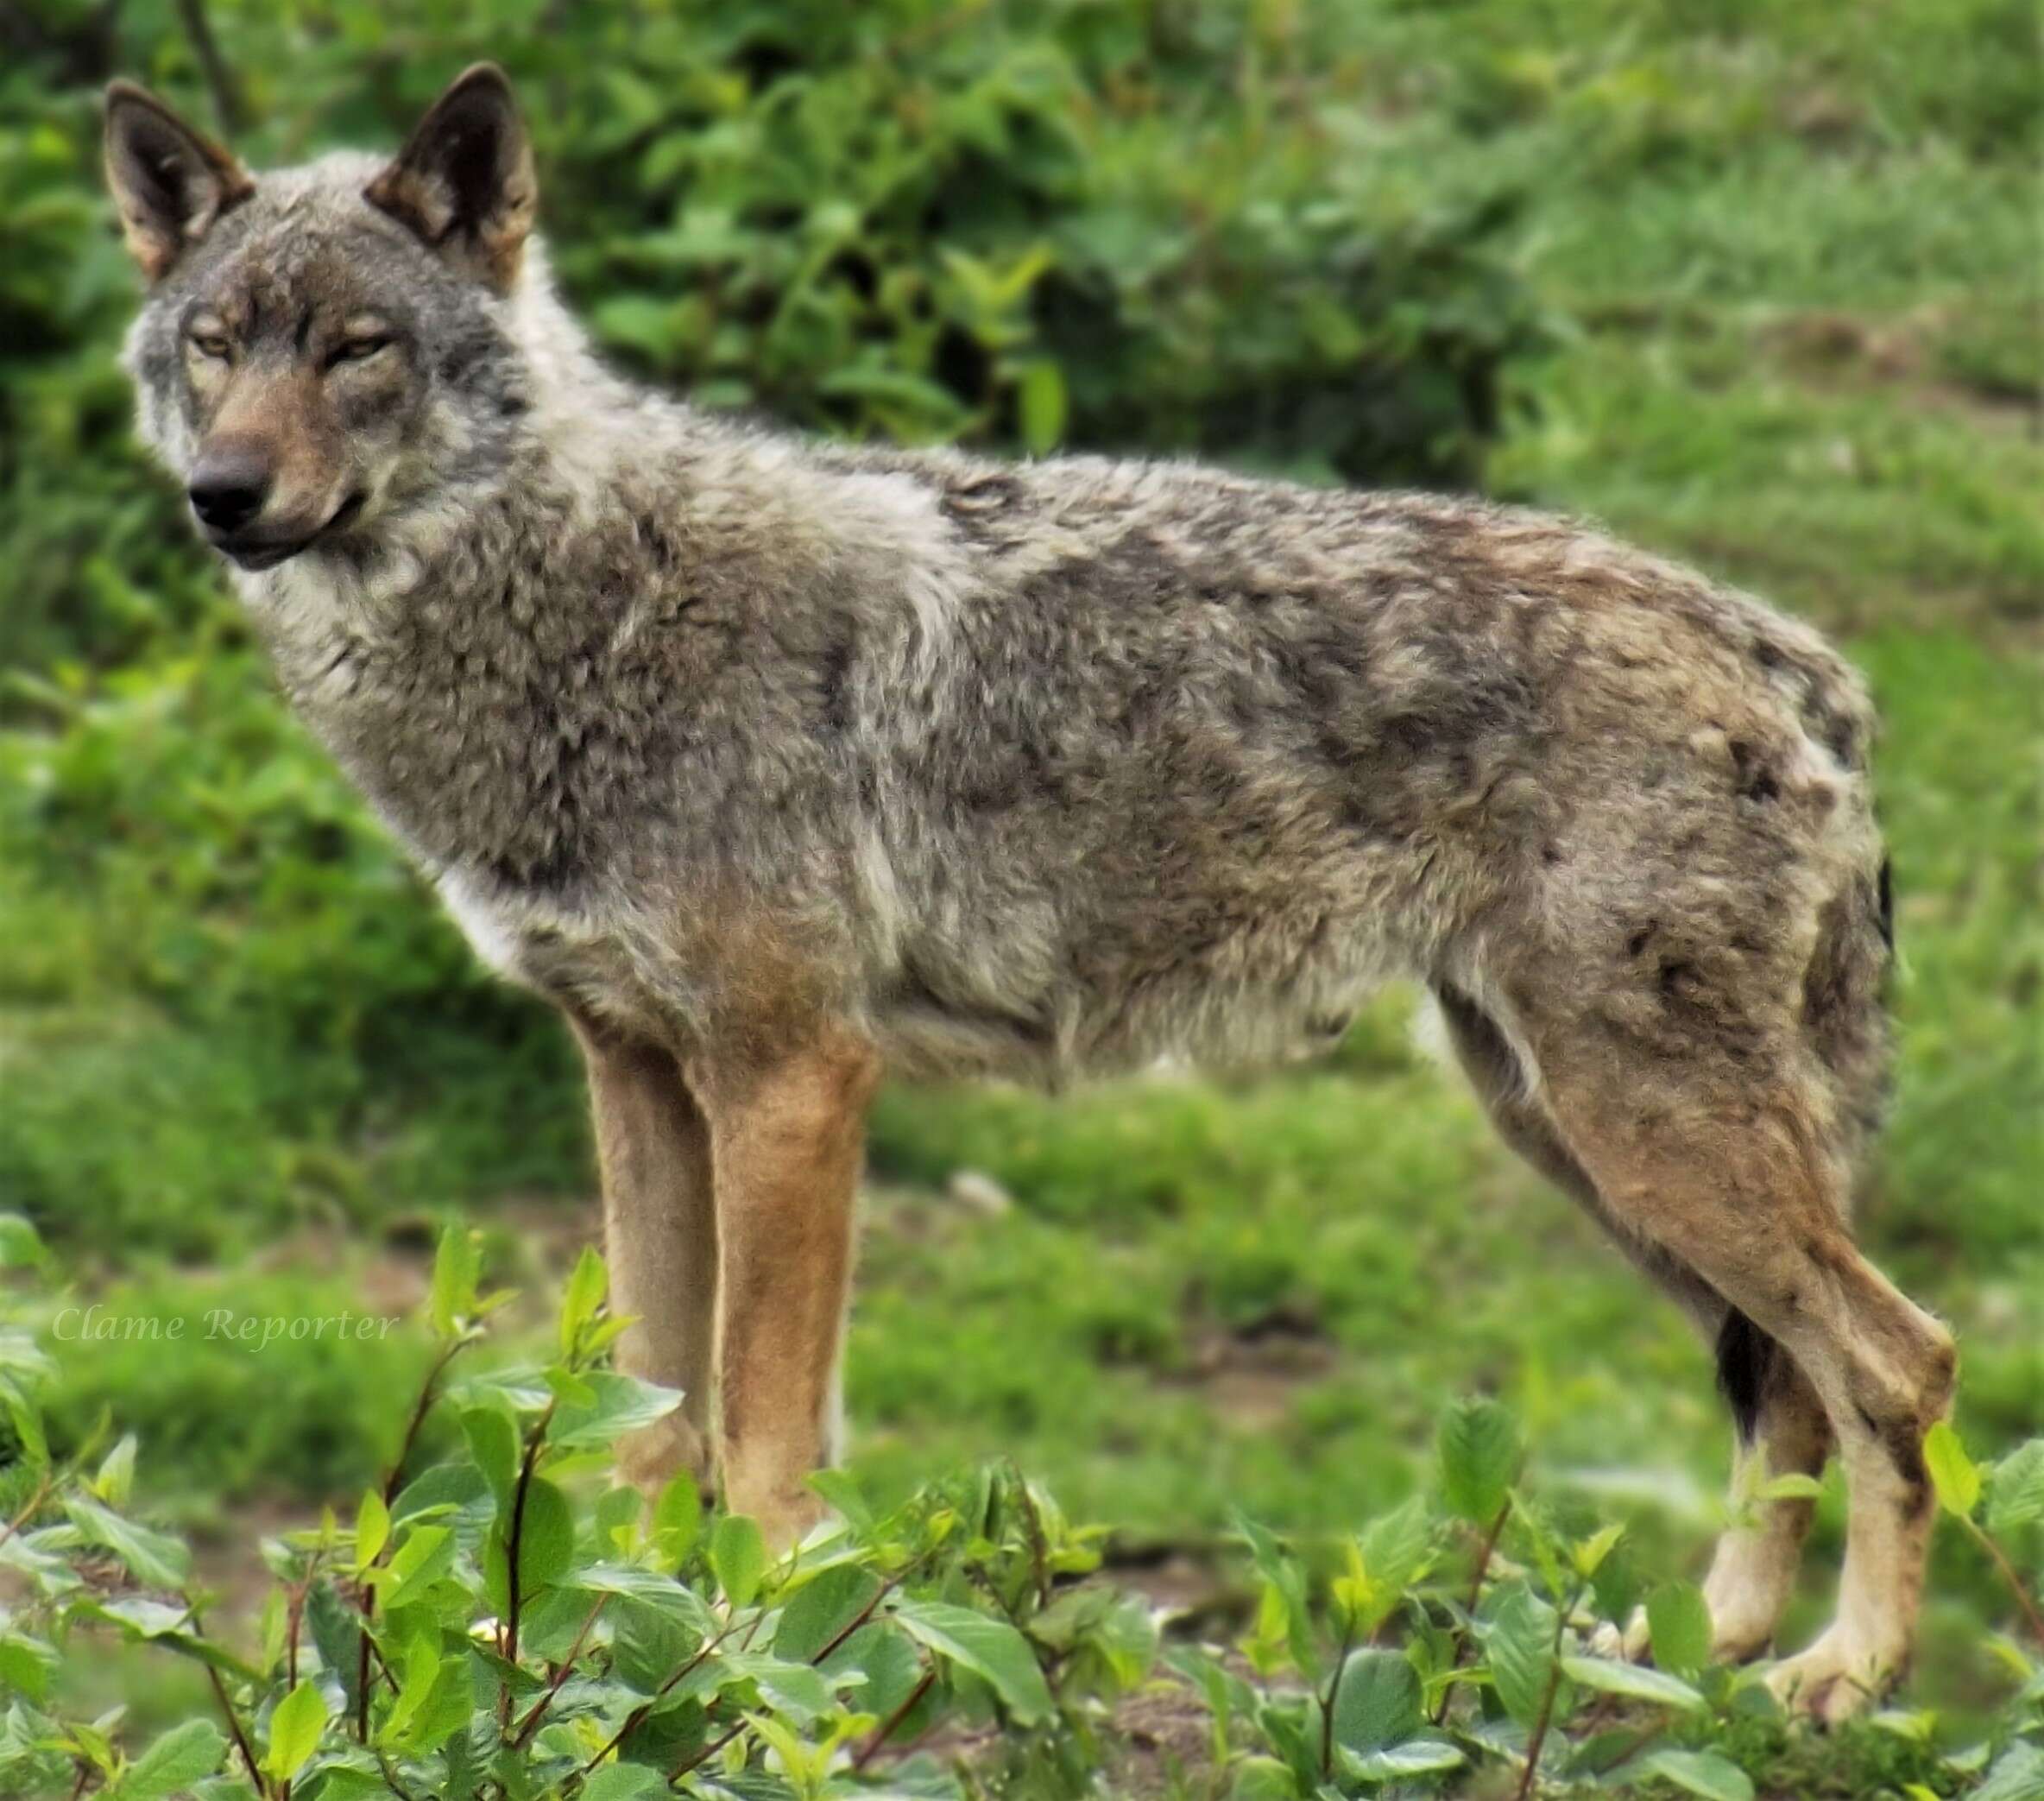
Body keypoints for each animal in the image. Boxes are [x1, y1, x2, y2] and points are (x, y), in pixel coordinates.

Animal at [104, 66, 1953, 1716]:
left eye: (358, 349)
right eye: (216, 345)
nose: (224, 497)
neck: (585, 611)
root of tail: (1783, 651)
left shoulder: (792, 1074)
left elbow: (760, 1433)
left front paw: (756, 1646)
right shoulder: (631, 1069)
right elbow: (648, 1412)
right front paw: (597, 1643)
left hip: (1642, 1139)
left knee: (1894, 1361)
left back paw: (1840, 1675)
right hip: (1571, 1135)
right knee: (1785, 1383)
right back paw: (1699, 1654)